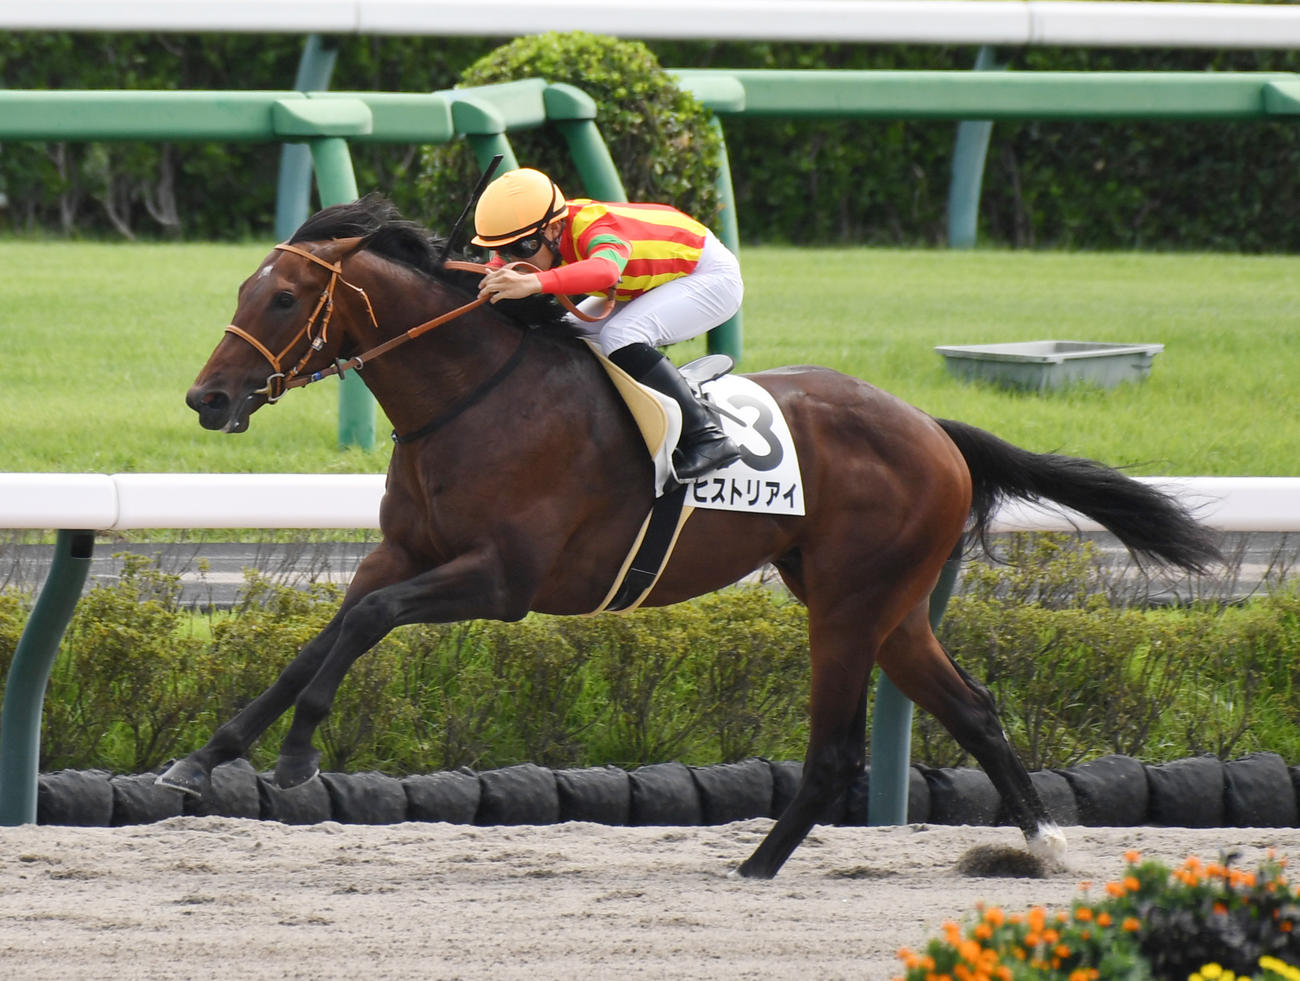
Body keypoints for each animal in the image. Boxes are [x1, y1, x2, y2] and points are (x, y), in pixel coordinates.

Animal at [160, 193, 1220, 879]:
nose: (207, 397)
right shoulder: (402, 553)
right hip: (891, 605)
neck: (472, 397)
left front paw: (297, 755)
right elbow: (326, 636)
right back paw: (1042, 843)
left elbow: (366, 621)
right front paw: (206, 758)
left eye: (283, 299)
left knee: (839, 751)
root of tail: (933, 428)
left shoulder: (501, 581)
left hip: (850, 604)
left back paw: (755, 865)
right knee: (976, 708)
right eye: (247, 290)